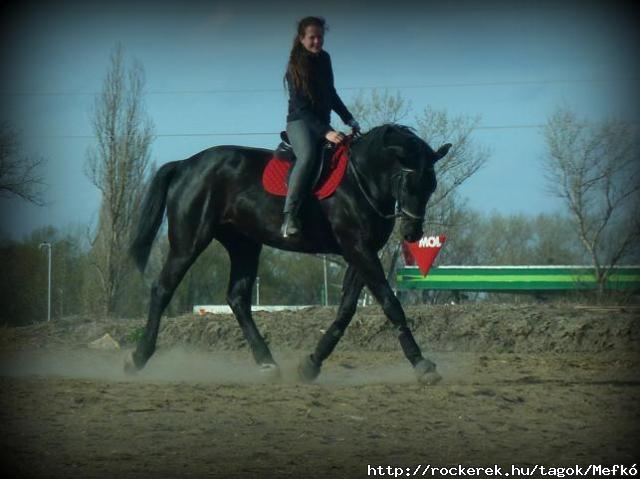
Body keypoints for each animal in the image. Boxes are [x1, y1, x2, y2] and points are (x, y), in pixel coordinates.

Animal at [126, 124, 450, 386]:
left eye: (431, 185)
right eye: (408, 181)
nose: (412, 233)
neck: (359, 180)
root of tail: (185, 165)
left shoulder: (362, 252)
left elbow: (346, 310)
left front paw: (311, 365)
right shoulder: (358, 248)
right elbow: (389, 303)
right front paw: (422, 364)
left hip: (244, 244)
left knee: (238, 298)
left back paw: (267, 363)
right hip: (190, 241)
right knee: (163, 289)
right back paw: (138, 357)